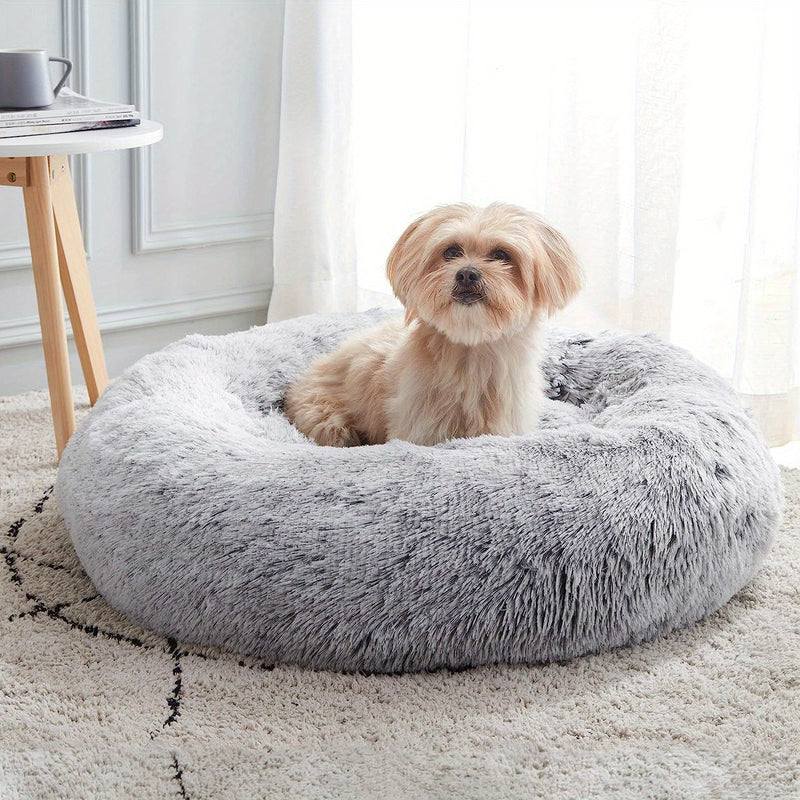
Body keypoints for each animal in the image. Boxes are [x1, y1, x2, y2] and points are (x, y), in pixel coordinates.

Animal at [286, 203, 580, 446]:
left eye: (501, 255)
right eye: (451, 251)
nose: (467, 274)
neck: (472, 351)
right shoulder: (422, 431)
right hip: (326, 418)